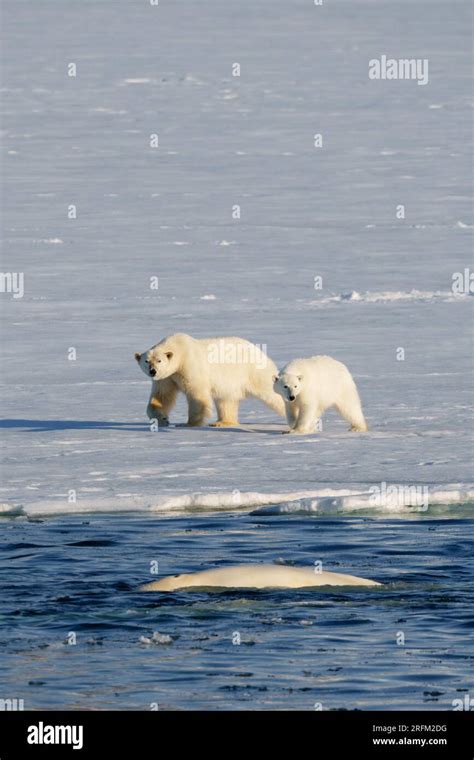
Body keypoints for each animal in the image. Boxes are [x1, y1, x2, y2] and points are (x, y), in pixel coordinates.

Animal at [133, 332, 284, 428]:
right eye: (147, 361)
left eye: (159, 360)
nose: (153, 371)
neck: (180, 351)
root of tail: (259, 350)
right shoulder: (167, 377)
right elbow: (162, 396)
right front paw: (162, 419)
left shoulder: (189, 366)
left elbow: (197, 394)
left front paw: (188, 423)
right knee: (225, 401)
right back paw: (221, 422)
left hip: (254, 372)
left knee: (273, 394)